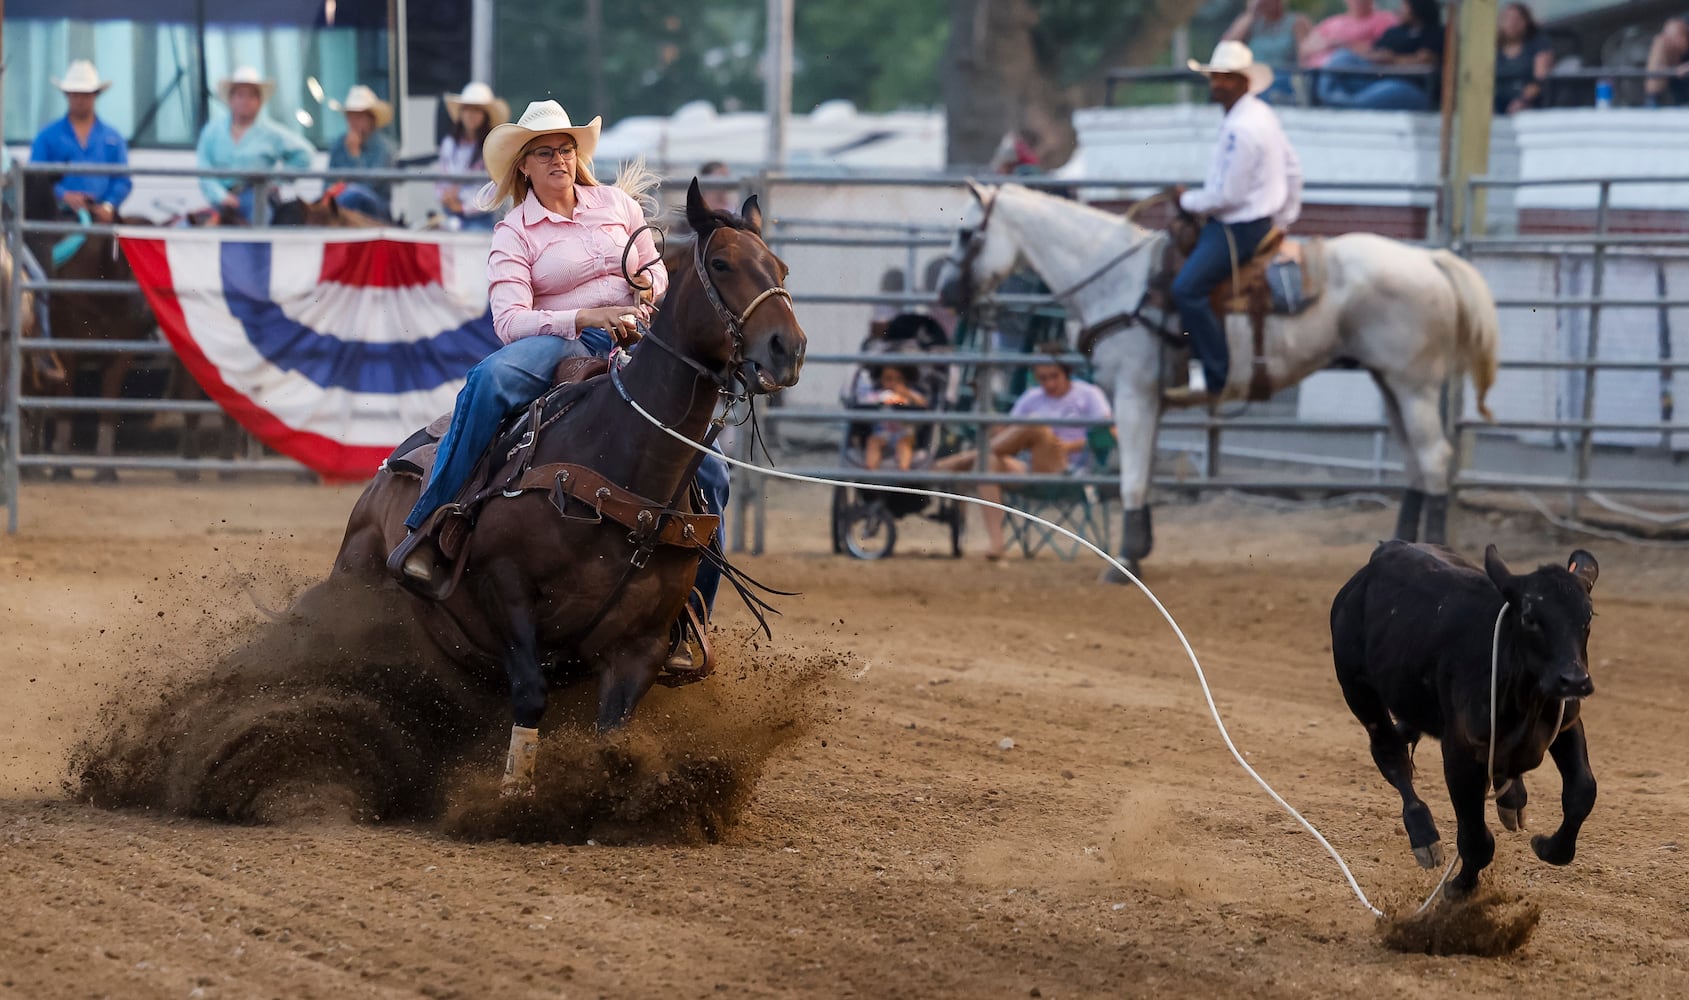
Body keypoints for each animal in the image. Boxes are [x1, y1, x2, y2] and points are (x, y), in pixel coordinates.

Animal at [331, 177, 810, 790]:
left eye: (781, 266)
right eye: (722, 264)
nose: (787, 348)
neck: (621, 464)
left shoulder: (642, 644)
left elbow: (612, 732)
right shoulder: (505, 585)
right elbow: (531, 695)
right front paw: (516, 790)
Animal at [939, 179, 1506, 577]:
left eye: (968, 232)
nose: (946, 294)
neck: (1118, 279)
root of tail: (1431, 259)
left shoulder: (1133, 396)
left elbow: (1131, 477)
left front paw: (1122, 566)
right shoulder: (1150, 400)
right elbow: (1144, 475)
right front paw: (1139, 551)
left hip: (1414, 385)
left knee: (1433, 460)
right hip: (1390, 383)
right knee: (1415, 466)